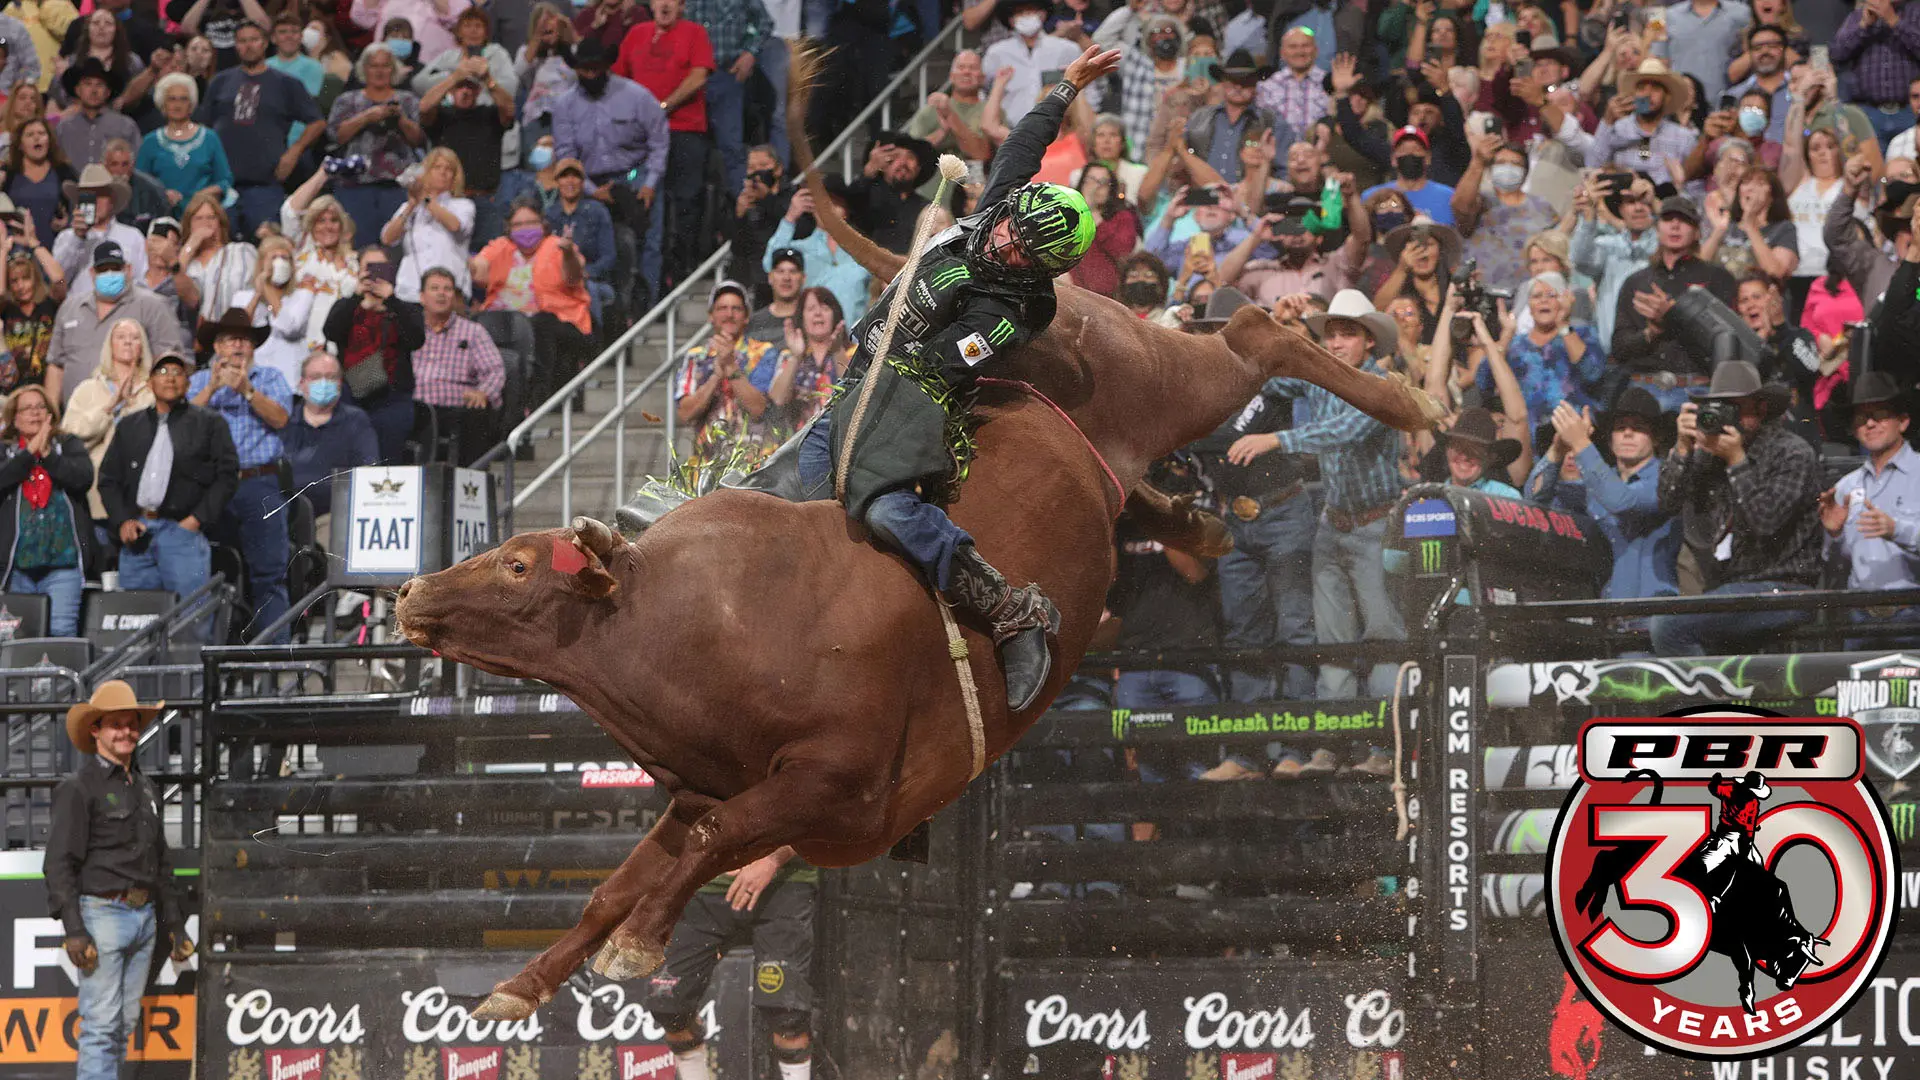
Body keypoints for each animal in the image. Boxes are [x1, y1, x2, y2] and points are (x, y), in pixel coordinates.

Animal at [393, 46, 1443, 1014]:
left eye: (518, 562)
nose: (410, 592)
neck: (687, 625)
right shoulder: (709, 790)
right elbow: (619, 881)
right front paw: (521, 988)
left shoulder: (830, 784)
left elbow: (708, 848)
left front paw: (637, 946)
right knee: (1156, 475)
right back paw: (1203, 525)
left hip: (1160, 380)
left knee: (1257, 336)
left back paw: (1412, 403)